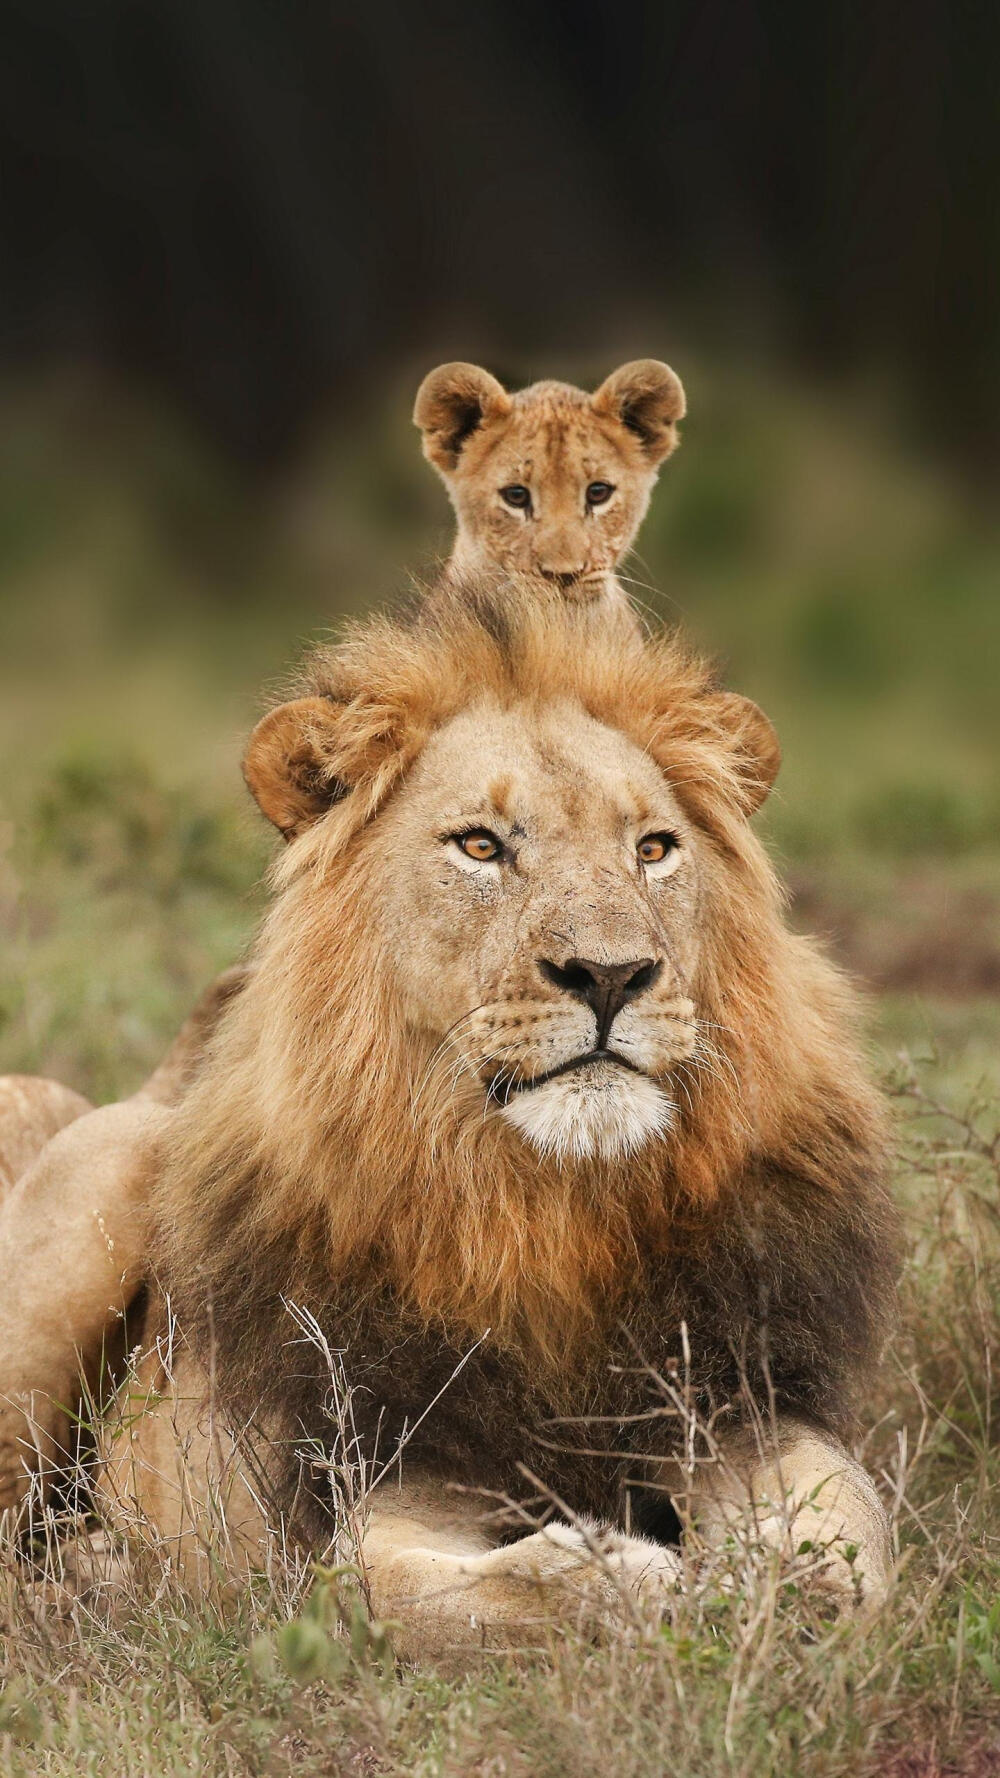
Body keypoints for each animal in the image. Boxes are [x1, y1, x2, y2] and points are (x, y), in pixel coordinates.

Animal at [0, 579, 889, 1649]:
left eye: (653, 848)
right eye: (480, 845)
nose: (613, 975)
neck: (551, 1207)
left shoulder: (746, 1404)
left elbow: (849, 1553)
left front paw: (777, 1589)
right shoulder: (373, 1491)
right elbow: (451, 1594)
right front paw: (656, 1580)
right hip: (99, 1180)